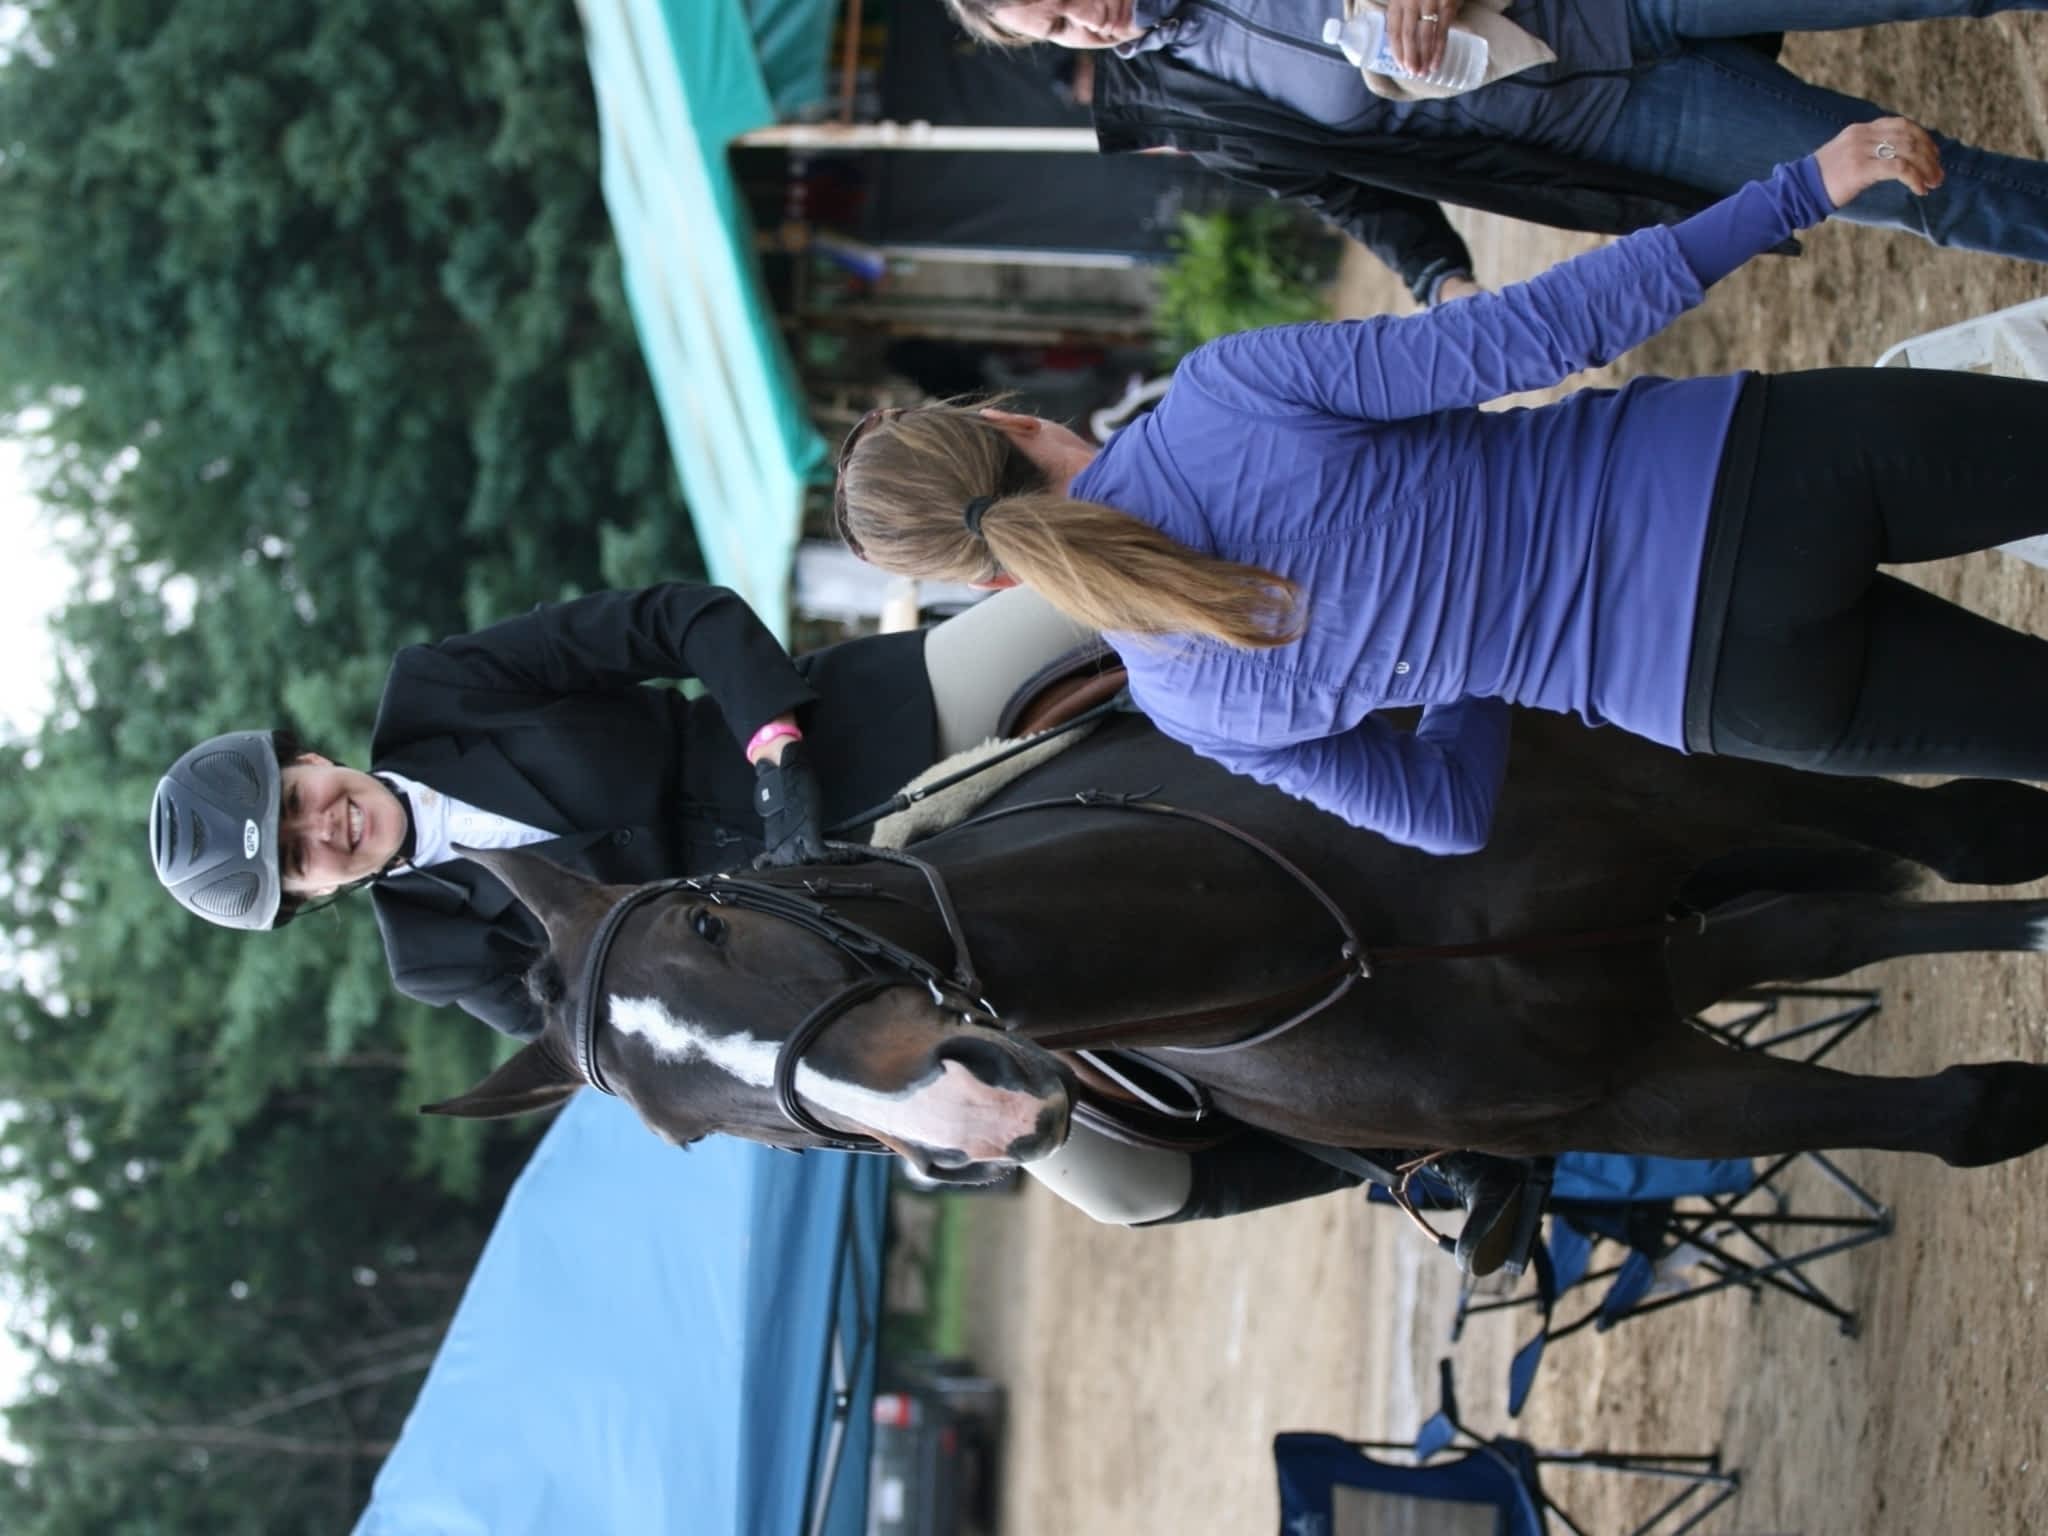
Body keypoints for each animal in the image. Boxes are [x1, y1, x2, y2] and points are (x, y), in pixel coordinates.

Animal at [428, 716, 2048, 1187]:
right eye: (695, 1136)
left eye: (708, 918)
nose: (974, 1109)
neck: (1346, 938)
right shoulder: (1628, 1095)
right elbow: (1964, 1116)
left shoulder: (1674, 793)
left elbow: (1968, 827)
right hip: (1647, 974)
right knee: (1815, 924)